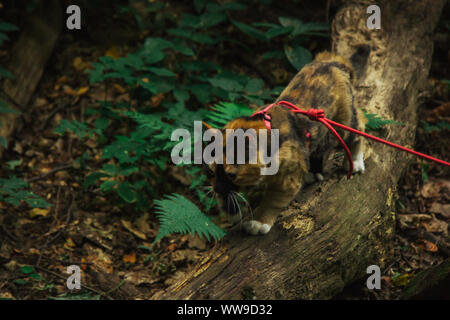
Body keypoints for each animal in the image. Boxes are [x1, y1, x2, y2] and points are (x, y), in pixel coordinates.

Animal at [206, 51, 364, 234]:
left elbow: (273, 200)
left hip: (341, 125)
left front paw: (259, 221)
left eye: (231, 174)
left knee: (358, 129)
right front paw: (230, 209)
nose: (216, 189)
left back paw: (355, 161)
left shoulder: (288, 180)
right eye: (211, 172)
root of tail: (333, 62)